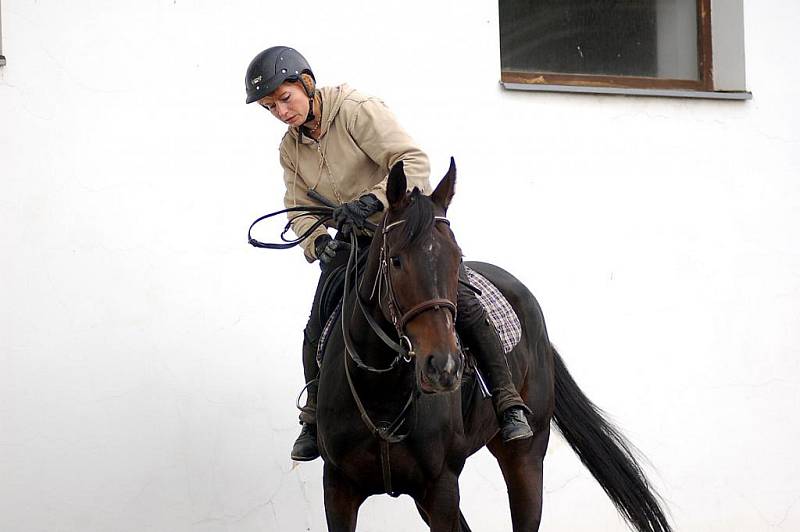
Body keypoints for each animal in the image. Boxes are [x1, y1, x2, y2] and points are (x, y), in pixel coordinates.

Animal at [312, 160, 668, 528]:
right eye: (396, 260)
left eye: (457, 258)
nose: (444, 367)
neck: (381, 393)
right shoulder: (338, 489)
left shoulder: (442, 487)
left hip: (525, 456)